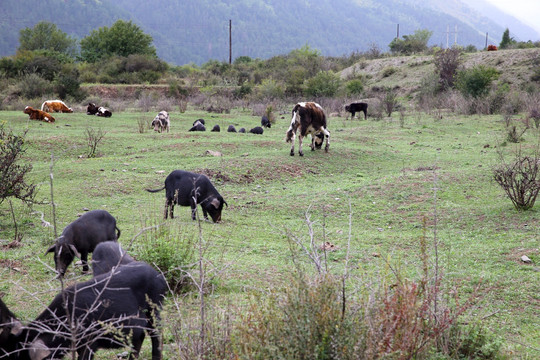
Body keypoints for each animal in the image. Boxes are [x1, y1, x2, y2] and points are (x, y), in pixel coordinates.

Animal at [0, 260, 167, 360]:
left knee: (156, 334)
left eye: (17, 356)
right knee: (140, 337)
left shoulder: (90, 341)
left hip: (155, 309)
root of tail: (158, 276)